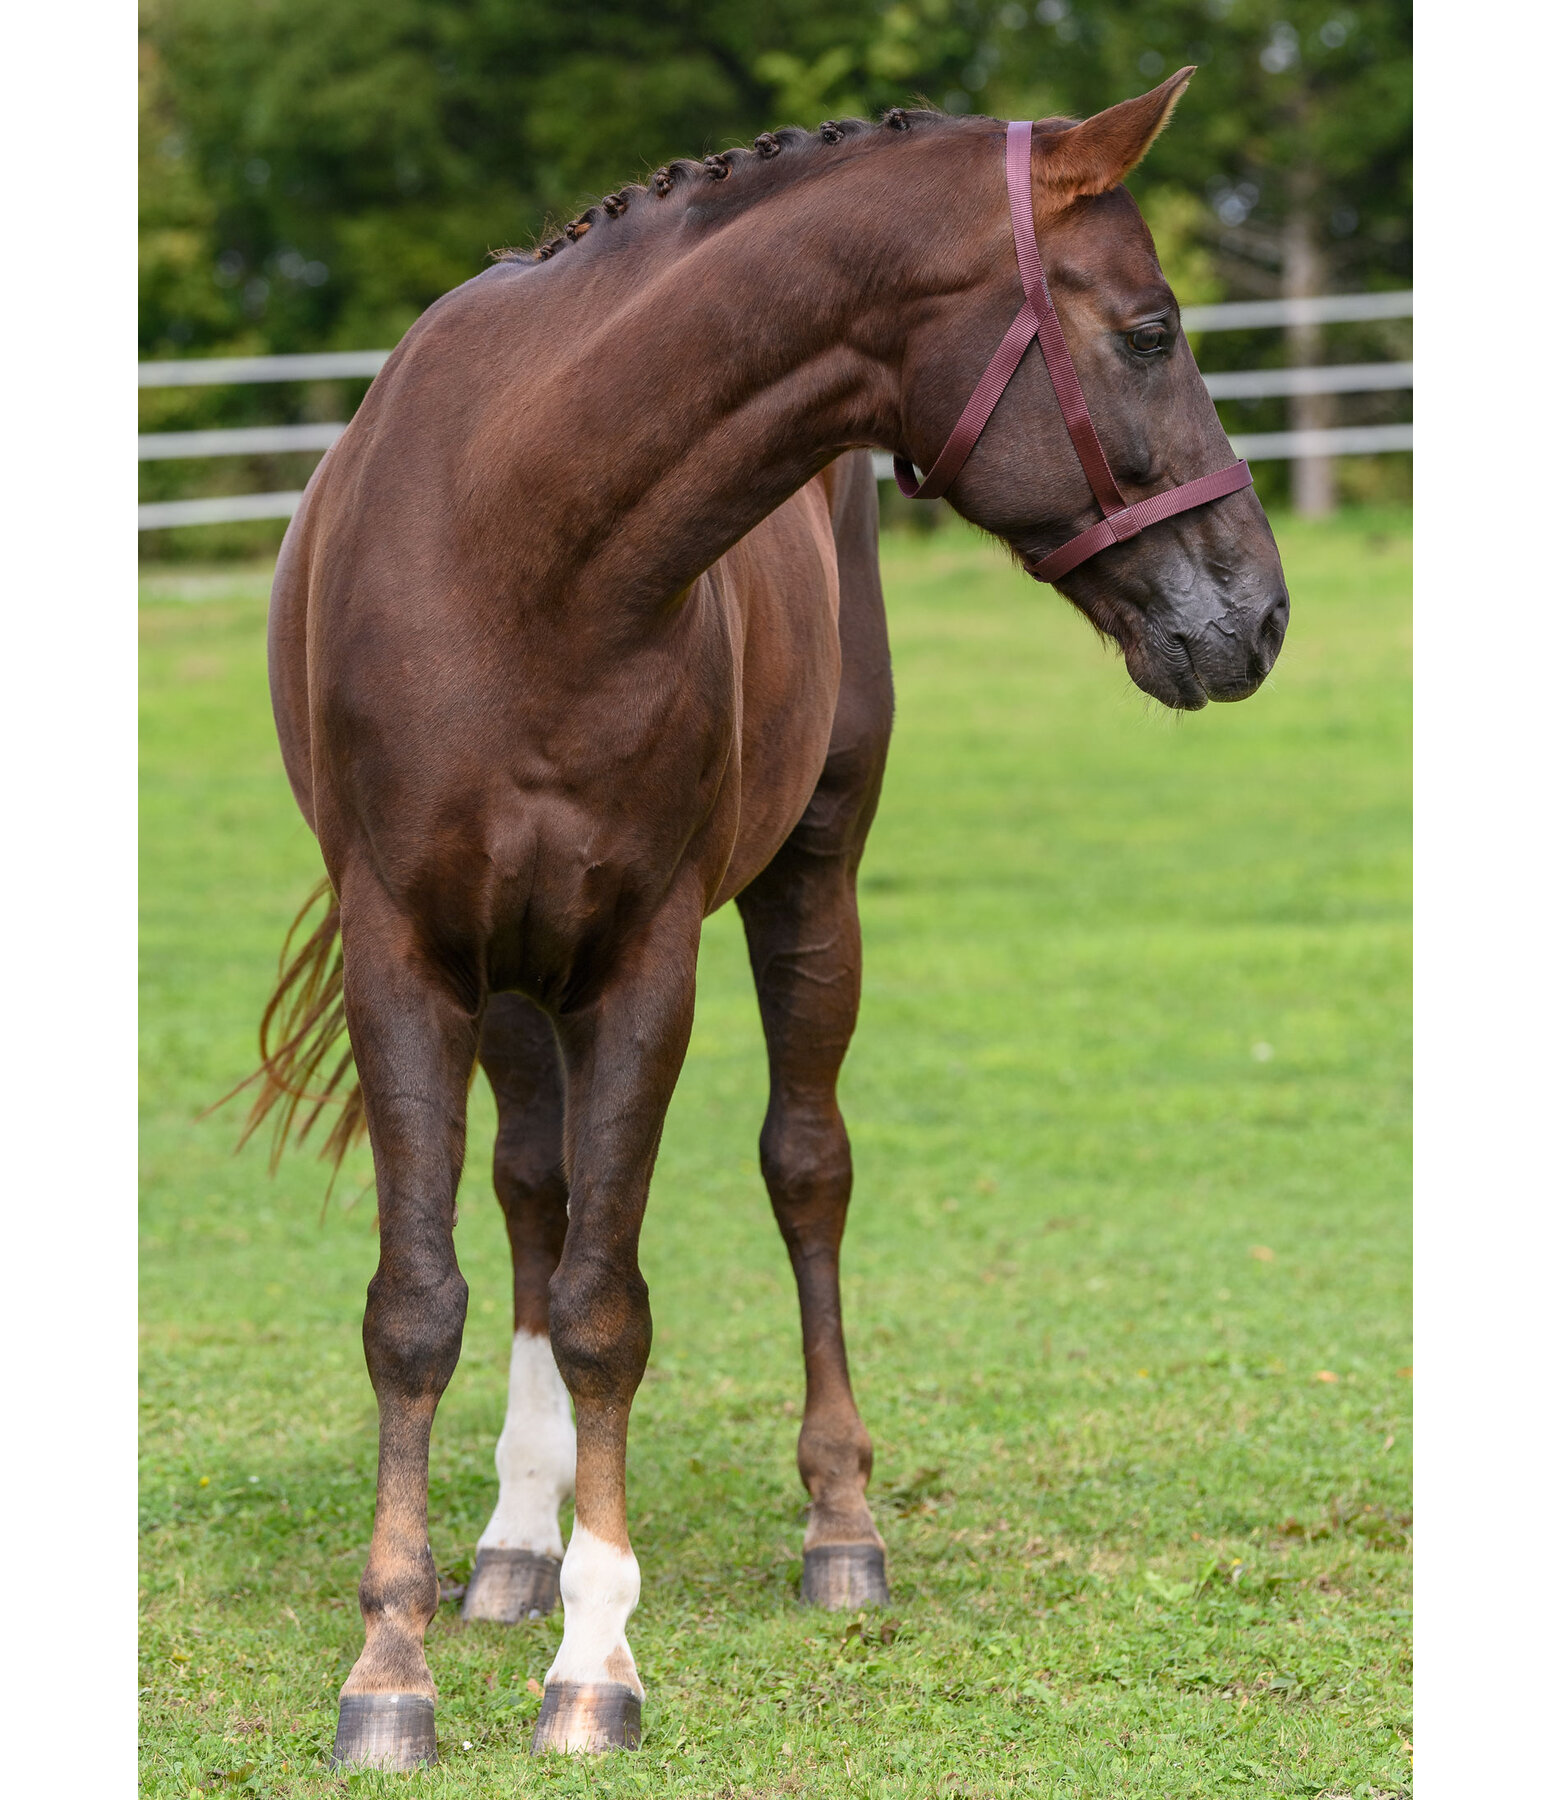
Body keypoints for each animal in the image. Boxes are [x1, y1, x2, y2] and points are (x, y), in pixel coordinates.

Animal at [253, 73, 1288, 1771]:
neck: (522, 544)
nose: (1256, 614)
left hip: (808, 881)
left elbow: (610, 1307)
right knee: (531, 1194)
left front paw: (597, 1662)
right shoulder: (403, 954)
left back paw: (836, 1529)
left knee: (805, 1170)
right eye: (1148, 330)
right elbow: (420, 1306)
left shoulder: (644, 962)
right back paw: (513, 1542)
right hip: (516, 981)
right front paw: (391, 1667)